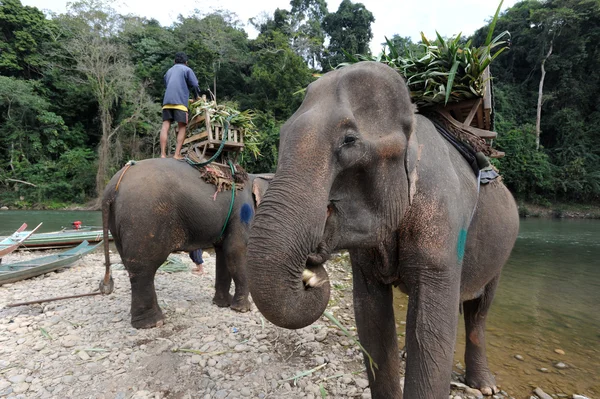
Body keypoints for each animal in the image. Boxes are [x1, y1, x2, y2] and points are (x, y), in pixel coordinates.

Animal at [101, 158, 272, 330]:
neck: (256, 177)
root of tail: (112, 186)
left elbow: (223, 253)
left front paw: (223, 304)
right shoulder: (242, 212)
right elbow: (236, 250)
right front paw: (242, 309)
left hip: (119, 225)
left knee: (131, 265)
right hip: (144, 218)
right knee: (144, 268)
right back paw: (152, 323)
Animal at [246, 60, 516, 399]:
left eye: (349, 141)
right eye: (282, 136)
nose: (311, 275)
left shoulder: (442, 219)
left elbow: (430, 329)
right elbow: (372, 320)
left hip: (502, 253)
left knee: (479, 311)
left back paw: (485, 386)